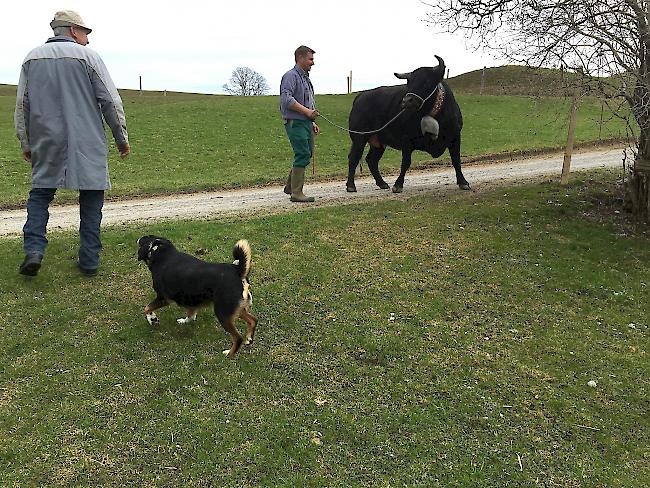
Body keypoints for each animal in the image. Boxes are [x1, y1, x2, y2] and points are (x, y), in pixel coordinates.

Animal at [344, 56, 466, 193]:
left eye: (426, 82)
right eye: (409, 83)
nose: (407, 101)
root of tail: (361, 95)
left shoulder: (455, 137)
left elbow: (456, 160)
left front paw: (463, 182)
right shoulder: (407, 140)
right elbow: (406, 162)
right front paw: (398, 185)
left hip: (378, 142)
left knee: (371, 160)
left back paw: (382, 183)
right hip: (359, 138)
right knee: (354, 158)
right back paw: (351, 185)